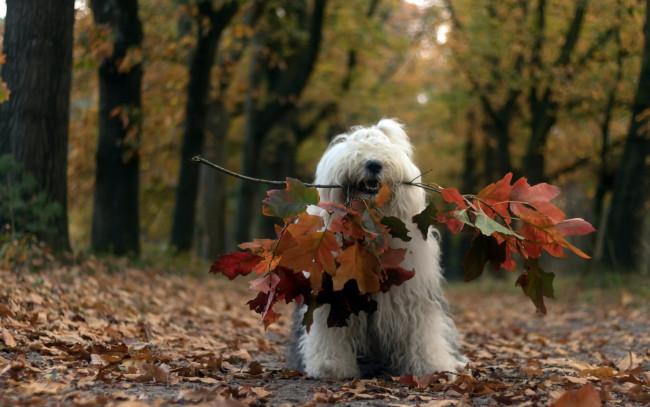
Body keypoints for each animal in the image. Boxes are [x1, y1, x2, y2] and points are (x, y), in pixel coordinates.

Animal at [286, 119, 468, 380]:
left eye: (383, 148)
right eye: (356, 148)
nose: (373, 163)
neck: (367, 227)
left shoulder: (412, 294)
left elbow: (421, 331)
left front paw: (430, 365)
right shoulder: (332, 295)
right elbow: (330, 331)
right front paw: (330, 366)